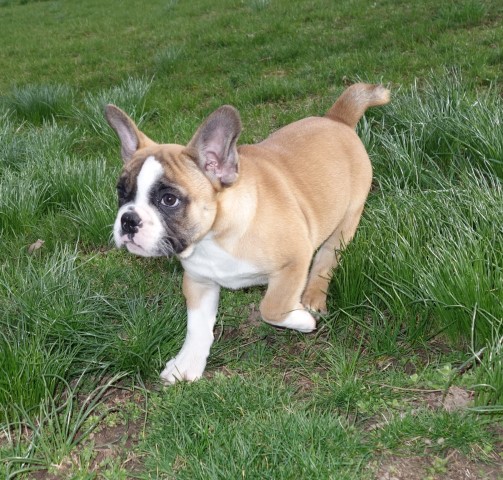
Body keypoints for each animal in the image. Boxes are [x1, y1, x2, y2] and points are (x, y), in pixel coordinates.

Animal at [105, 82, 390, 382]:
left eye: (168, 200)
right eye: (121, 192)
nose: (128, 220)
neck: (214, 237)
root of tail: (337, 119)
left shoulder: (295, 260)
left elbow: (272, 307)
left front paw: (301, 320)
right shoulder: (199, 281)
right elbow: (197, 327)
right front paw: (187, 363)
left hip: (346, 220)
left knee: (326, 259)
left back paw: (313, 298)